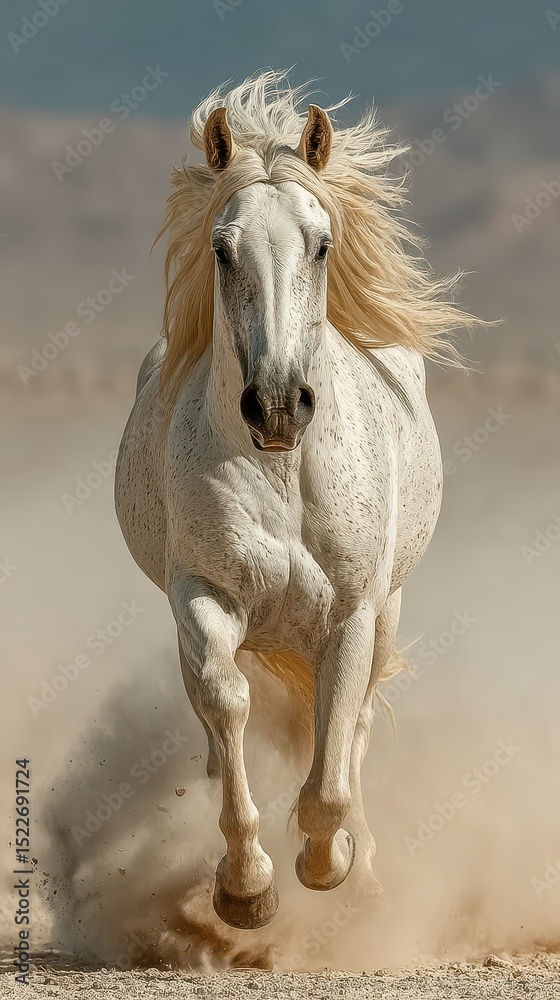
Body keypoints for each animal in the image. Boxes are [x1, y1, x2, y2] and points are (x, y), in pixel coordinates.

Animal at [115, 70, 473, 931]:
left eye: (321, 243)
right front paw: (245, 886)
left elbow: (334, 754)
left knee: (358, 723)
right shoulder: (201, 594)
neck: (285, 475)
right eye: (221, 247)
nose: (277, 406)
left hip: (388, 609)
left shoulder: (353, 612)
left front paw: (330, 860)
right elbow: (227, 703)